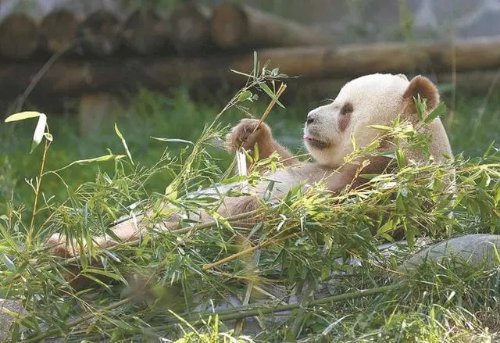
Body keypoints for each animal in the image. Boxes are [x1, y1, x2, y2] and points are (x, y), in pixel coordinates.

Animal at [47, 74, 454, 256]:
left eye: (347, 110)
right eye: (336, 98)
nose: (309, 118)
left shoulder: (386, 185)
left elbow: (282, 214)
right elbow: (277, 166)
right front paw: (249, 132)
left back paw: (67, 248)